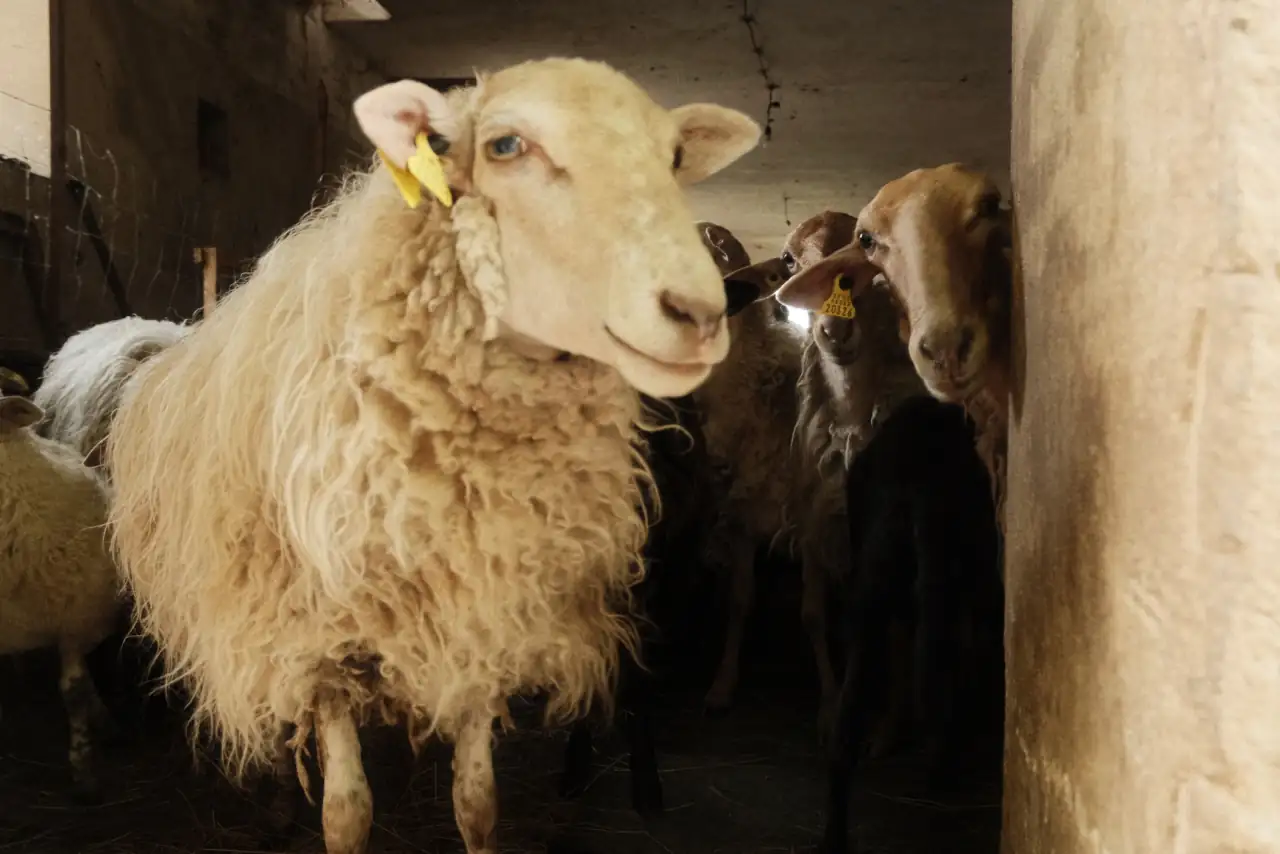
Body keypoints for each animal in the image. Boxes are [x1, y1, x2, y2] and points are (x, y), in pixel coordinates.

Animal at [102, 58, 760, 854]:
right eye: (506, 146)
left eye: (674, 157)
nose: (700, 314)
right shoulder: (322, 645)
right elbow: (347, 814)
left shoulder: (478, 616)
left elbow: (477, 801)